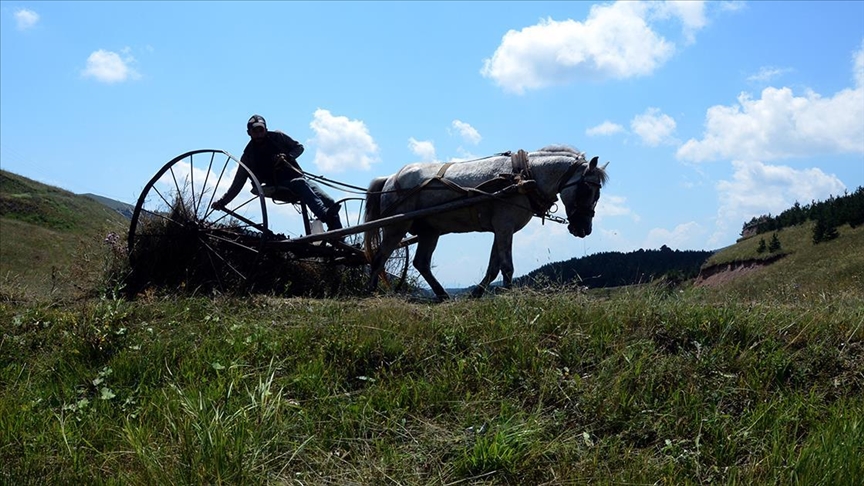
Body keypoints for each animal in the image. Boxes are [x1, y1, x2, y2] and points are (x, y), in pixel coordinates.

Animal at [364, 145, 608, 300]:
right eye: (587, 189)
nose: (584, 229)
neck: (524, 177)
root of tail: (391, 178)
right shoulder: (504, 227)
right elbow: (507, 267)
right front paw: (510, 295)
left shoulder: (500, 229)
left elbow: (494, 267)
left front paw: (477, 294)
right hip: (396, 226)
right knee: (378, 257)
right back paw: (370, 292)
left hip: (429, 231)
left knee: (421, 262)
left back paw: (442, 294)